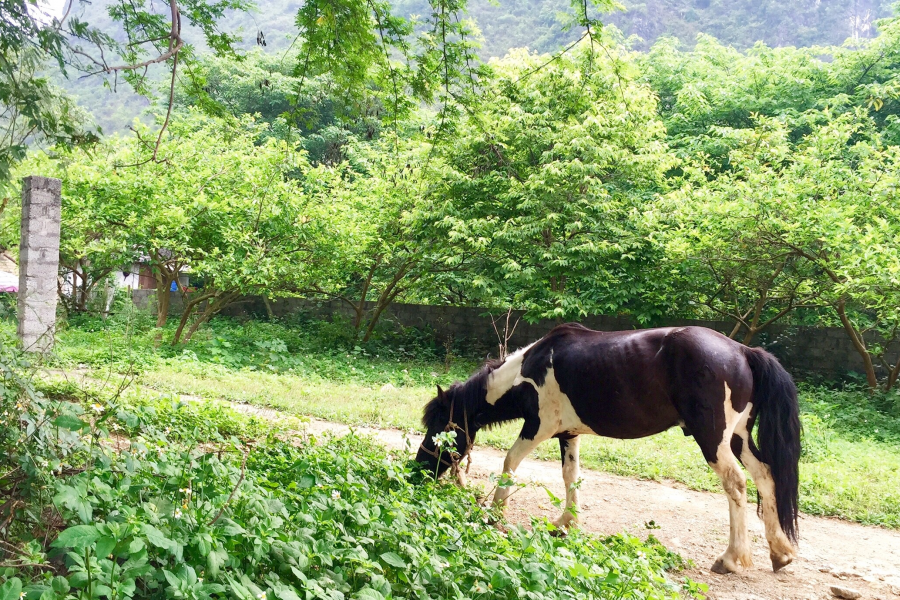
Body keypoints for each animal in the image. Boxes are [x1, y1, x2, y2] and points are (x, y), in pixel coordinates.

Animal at [414, 324, 800, 572]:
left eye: (438, 427)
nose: (418, 470)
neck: (528, 373)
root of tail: (743, 352)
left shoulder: (539, 427)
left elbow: (510, 462)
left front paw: (495, 514)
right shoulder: (568, 433)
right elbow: (571, 475)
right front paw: (566, 524)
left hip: (713, 439)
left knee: (736, 483)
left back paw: (731, 559)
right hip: (738, 437)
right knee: (765, 476)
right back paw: (780, 553)